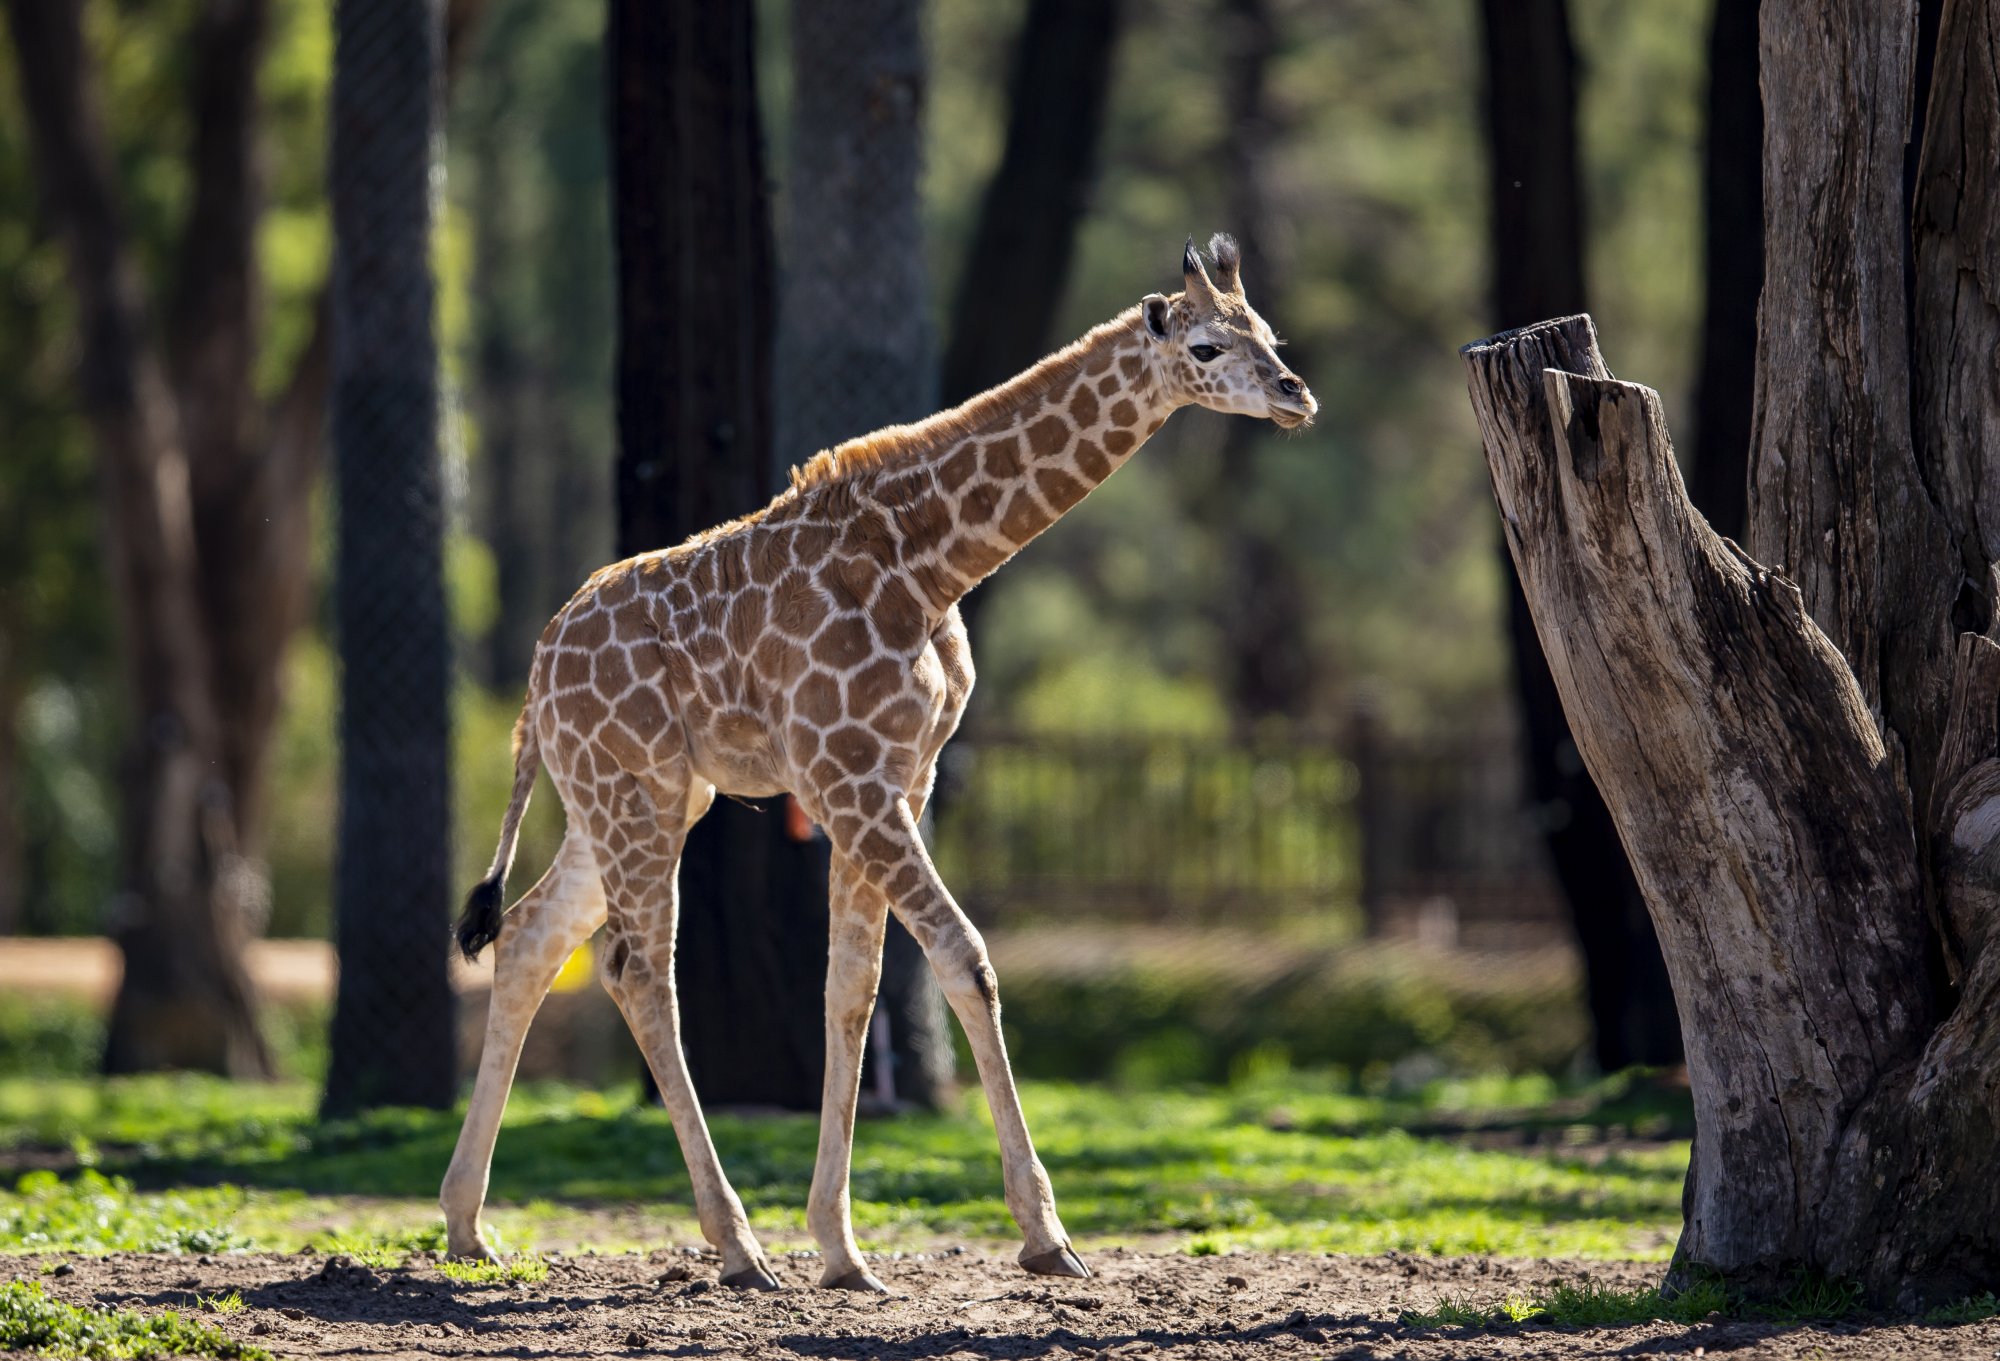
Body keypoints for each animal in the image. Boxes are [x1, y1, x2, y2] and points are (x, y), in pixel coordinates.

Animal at [438, 234, 1312, 1288]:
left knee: (532, 935)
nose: (1297, 395)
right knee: (637, 970)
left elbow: (851, 988)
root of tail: (533, 678)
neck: (932, 561)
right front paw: (1045, 1235)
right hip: (632, 790)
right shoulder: (846, 773)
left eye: (1269, 333)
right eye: (1208, 346)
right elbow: (964, 958)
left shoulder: (899, 772)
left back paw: (469, 1225)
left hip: (639, 794)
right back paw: (735, 1246)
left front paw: (842, 1246)